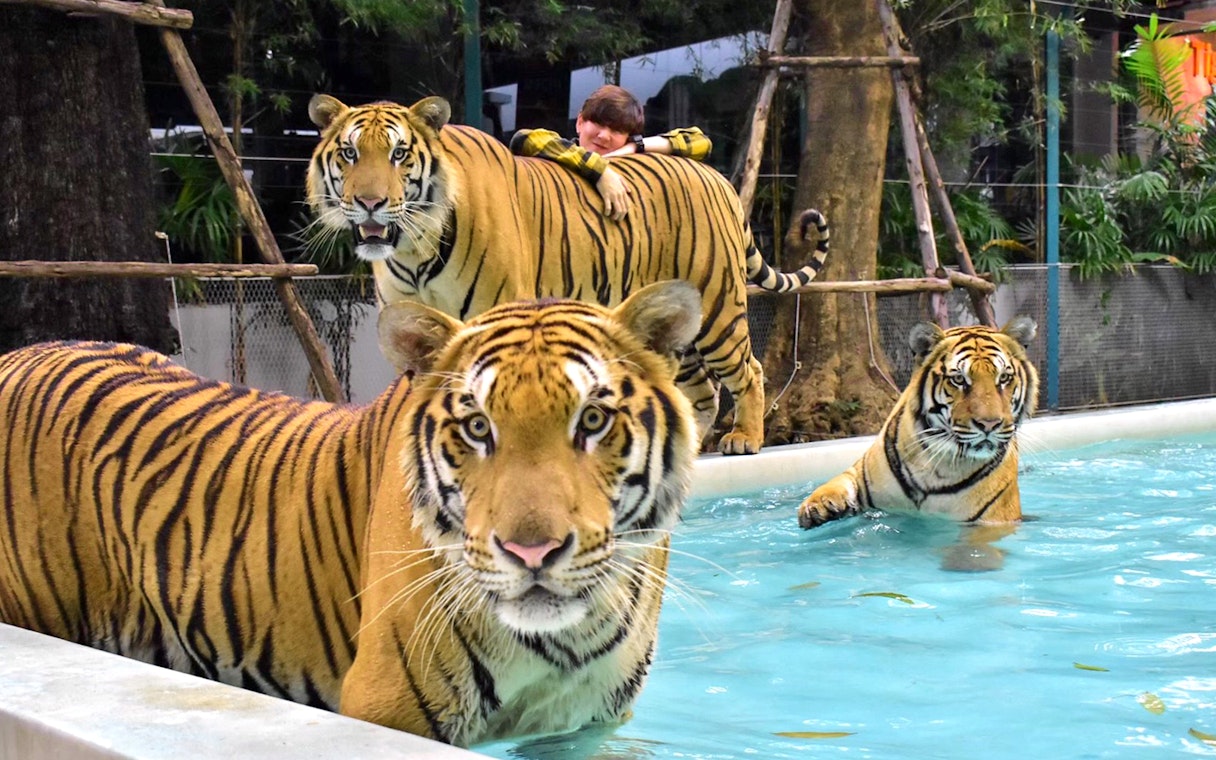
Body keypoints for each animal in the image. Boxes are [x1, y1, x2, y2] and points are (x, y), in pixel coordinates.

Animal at [0, 280, 701, 748]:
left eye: (593, 420)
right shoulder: (389, 706)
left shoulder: (582, 723)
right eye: (478, 427)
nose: (531, 553)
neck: (562, 642)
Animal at [304, 93, 831, 456]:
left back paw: (745, 437)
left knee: (749, 370)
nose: (369, 202)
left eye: (399, 154)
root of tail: (715, 175)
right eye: (349, 153)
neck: (416, 247)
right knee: (701, 392)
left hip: (718, 304)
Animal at [797, 317, 1040, 533]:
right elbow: (839, 481)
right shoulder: (860, 472)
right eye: (959, 379)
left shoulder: (992, 520)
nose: (989, 425)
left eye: (1004, 378)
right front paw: (817, 506)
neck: (940, 463)